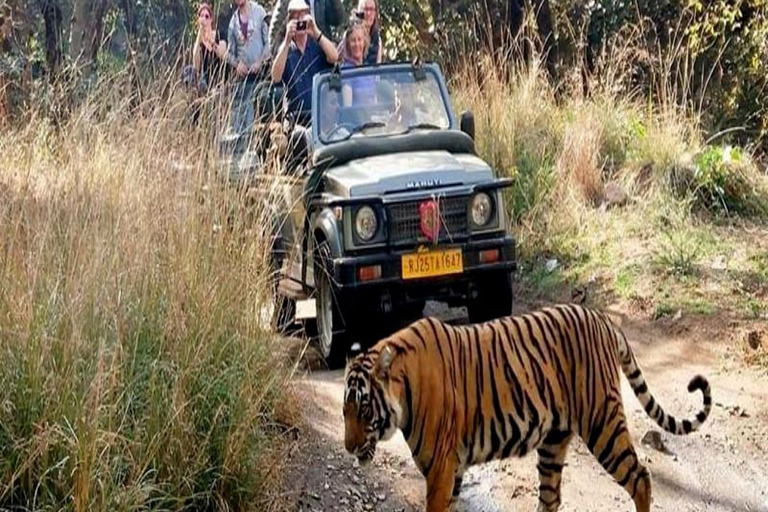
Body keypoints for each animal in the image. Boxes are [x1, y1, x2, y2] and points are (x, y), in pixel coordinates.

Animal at [344, 304, 712, 512]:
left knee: (640, 477)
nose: (348, 447)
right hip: (554, 440)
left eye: (364, 409)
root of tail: (604, 319)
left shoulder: (441, 469)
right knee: (550, 498)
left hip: (602, 422)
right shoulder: (453, 470)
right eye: (345, 412)